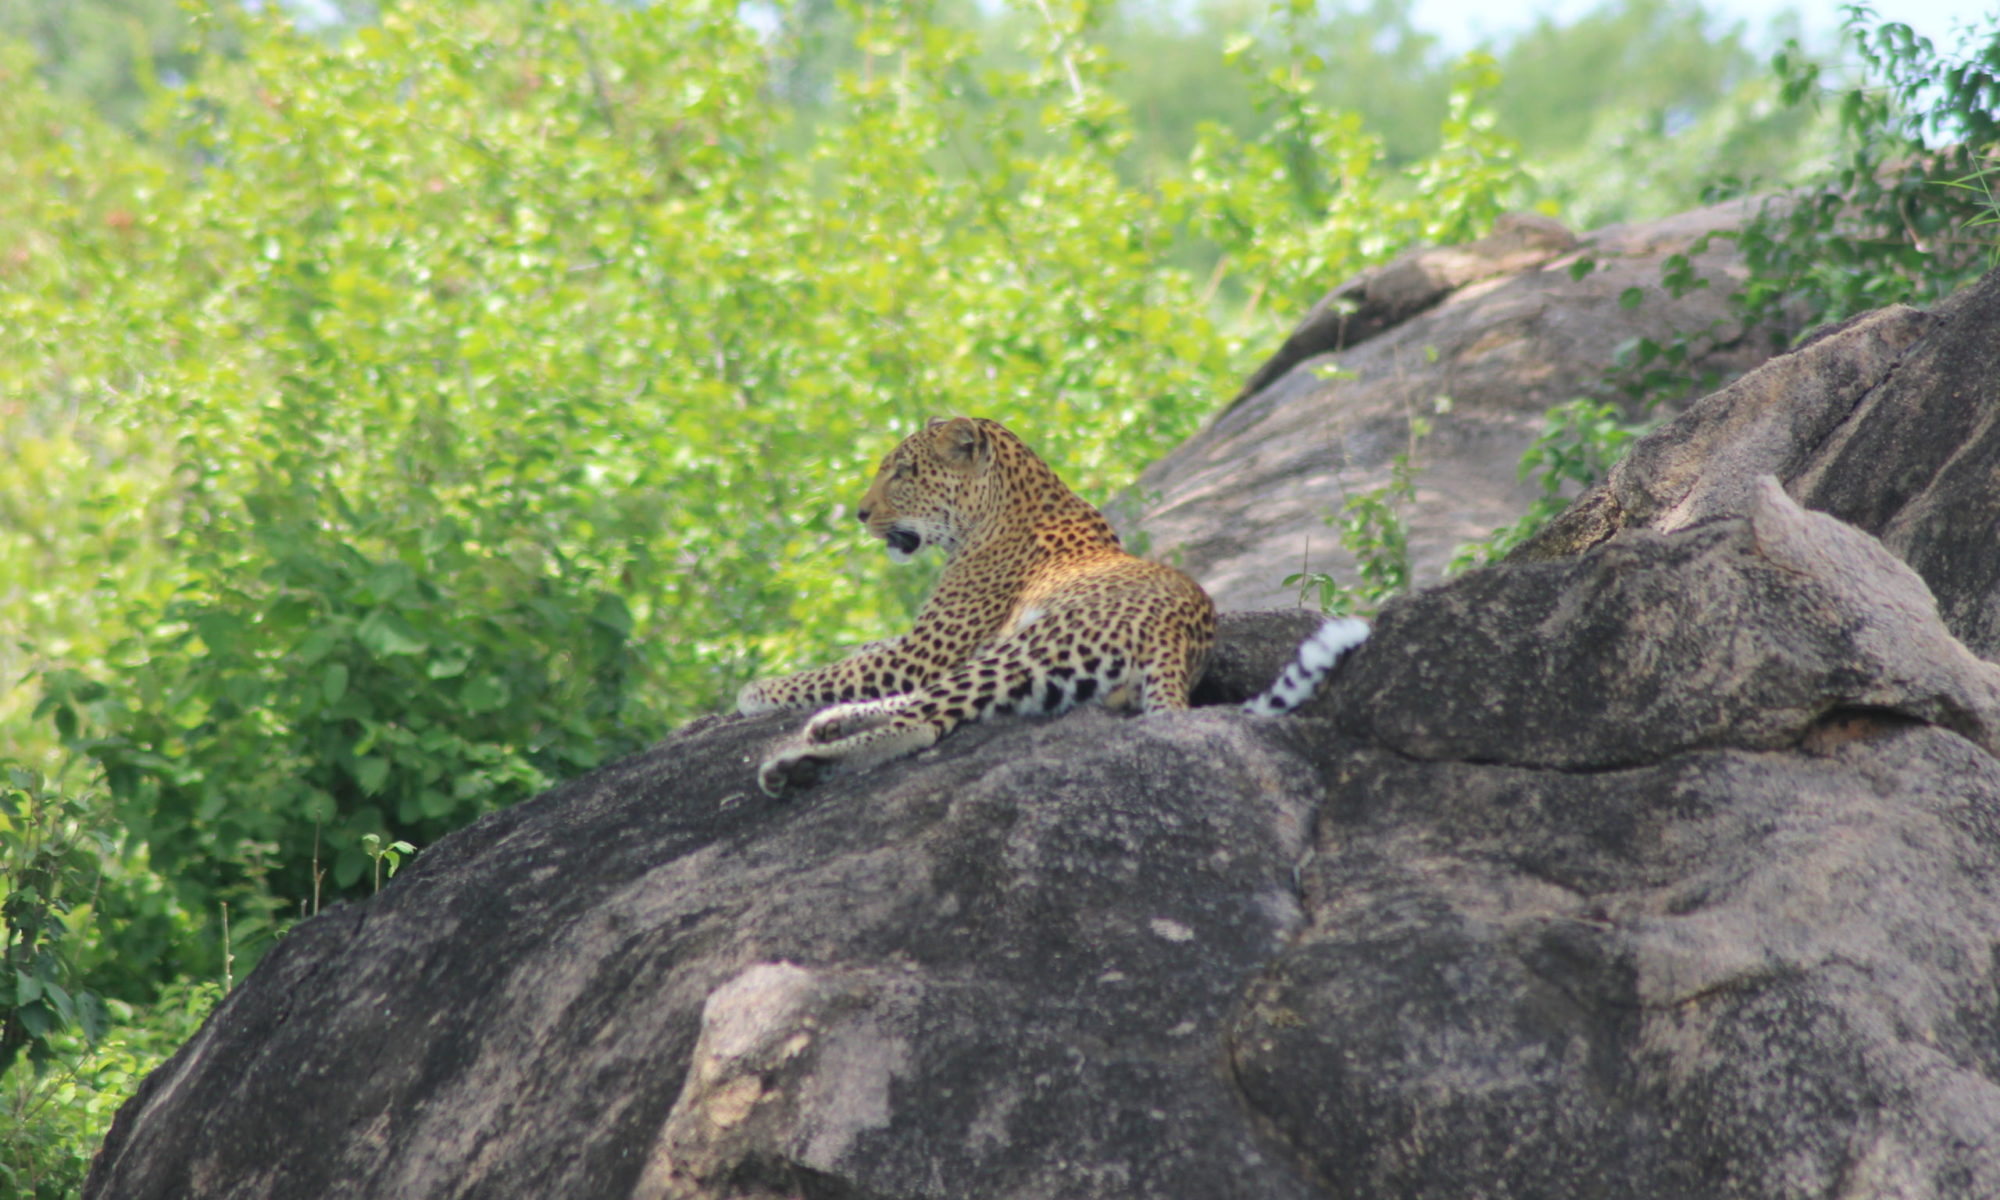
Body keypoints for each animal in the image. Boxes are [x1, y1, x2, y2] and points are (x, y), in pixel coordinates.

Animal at [740, 418, 1376, 800]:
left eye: (903, 472)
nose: (859, 513)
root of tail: (1181, 635)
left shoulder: (924, 652)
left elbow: (834, 671)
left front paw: (758, 690)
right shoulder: (920, 649)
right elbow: (861, 655)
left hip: (1031, 645)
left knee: (922, 723)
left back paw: (798, 763)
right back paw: (827, 726)